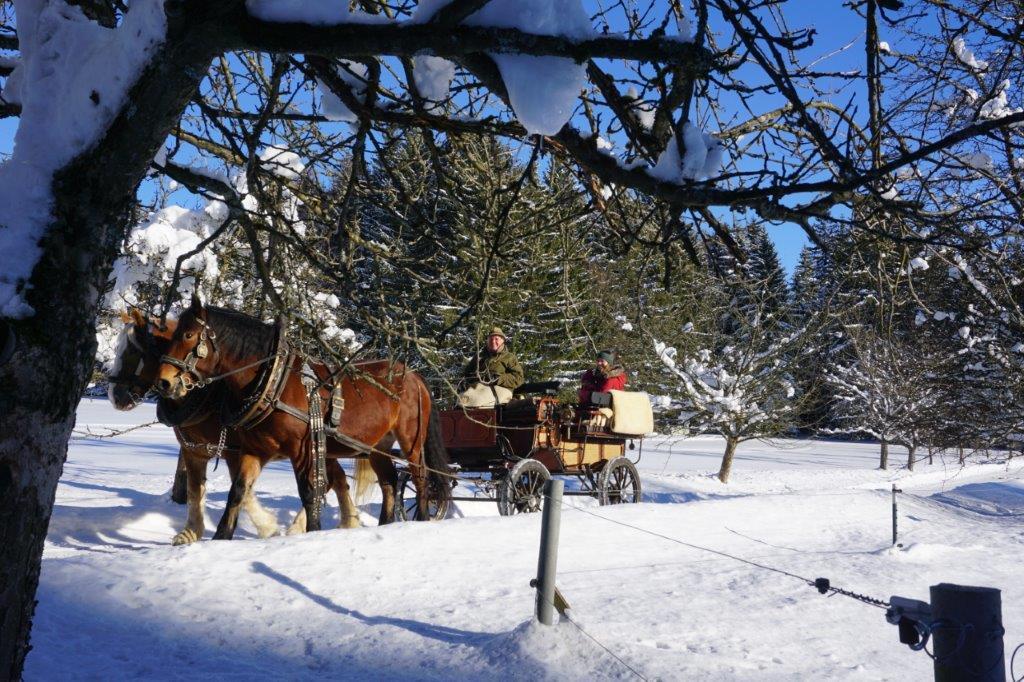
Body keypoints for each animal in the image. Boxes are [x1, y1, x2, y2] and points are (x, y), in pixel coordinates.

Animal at [107, 308, 365, 543]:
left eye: (134, 351)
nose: (115, 396)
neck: (208, 396)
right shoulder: (194, 452)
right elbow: (195, 491)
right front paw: (190, 532)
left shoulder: (235, 451)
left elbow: (243, 491)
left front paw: (267, 527)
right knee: (335, 478)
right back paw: (346, 521)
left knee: (326, 481)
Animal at [155, 294, 451, 534]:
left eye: (188, 335)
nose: (164, 382)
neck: (273, 381)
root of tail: (413, 375)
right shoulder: (253, 450)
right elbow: (237, 491)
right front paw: (221, 536)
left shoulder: (302, 450)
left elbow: (310, 493)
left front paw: (312, 532)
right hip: (378, 445)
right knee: (389, 482)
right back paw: (386, 525)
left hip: (411, 441)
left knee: (420, 479)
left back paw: (422, 519)